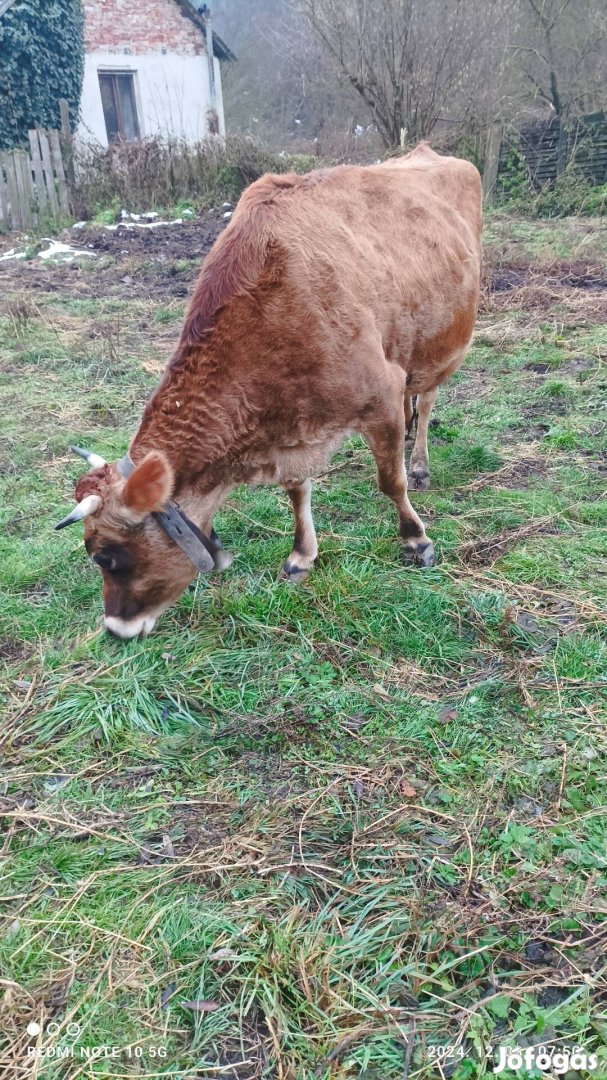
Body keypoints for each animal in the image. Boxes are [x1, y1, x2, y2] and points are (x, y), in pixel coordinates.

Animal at [56, 141, 481, 630]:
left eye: (105, 556)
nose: (114, 628)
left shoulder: (381, 395)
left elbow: (390, 481)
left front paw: (416, 540)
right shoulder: (291, 430)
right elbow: (297, 491)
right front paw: (302, 555)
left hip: (441, 344)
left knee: (426, 400)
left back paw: (421, 461)